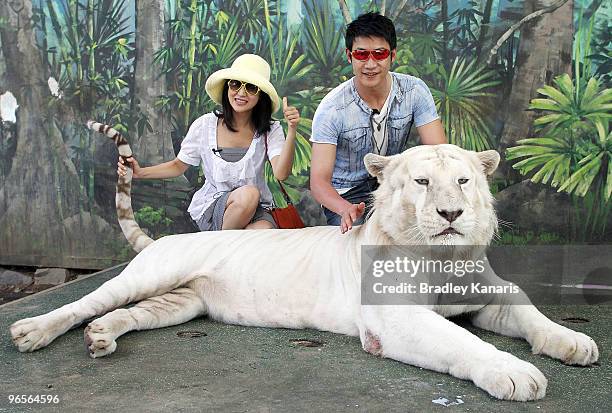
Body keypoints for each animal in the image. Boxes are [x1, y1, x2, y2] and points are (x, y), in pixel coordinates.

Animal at [9, 124, 596, 400]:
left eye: (465, 180)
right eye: (423, 182)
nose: (451, 213)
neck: (441, 257)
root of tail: (161, 240)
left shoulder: (487, 295)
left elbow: (530, 312)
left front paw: (575, 343)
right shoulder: (396, 319)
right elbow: (462, 342)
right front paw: (515, 374)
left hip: (180, 302)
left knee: (124, 315)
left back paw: (101, 338)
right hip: (152, 273)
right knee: (84, 303)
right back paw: (32, 331)